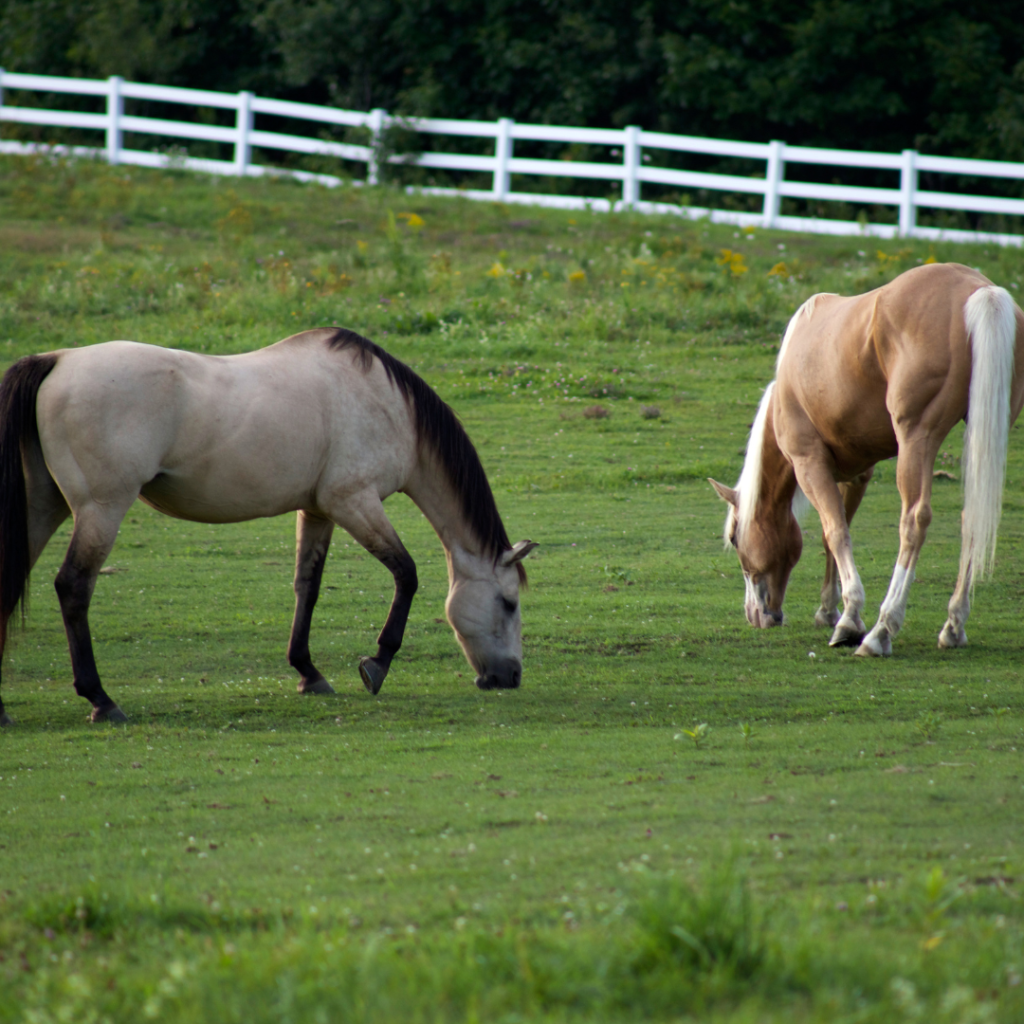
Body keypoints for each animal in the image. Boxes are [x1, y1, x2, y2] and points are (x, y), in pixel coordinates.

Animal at [0, 325, 540, 720]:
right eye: (509, 603)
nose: (510, 678)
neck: (388, 406)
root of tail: (56, 360)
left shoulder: (318, 510)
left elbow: (307, 585)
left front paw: (308, 672)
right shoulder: (354, 502)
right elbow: (406, 574)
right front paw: (377, 664)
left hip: (44, 507)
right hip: (101, 509)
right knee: (74, 587)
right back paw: (101, 700)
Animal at [712, 264, 1024, 659]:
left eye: (735, 538)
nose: (757, 615)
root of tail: (979, 290)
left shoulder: (809, 463)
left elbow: (835, 532)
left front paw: (849, 621)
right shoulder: (856, 473)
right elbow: (834, 533)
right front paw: (829, 610)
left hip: (916, 439)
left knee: (914, 521)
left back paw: (881, 630)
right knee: (973, 517)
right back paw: (953, 626)